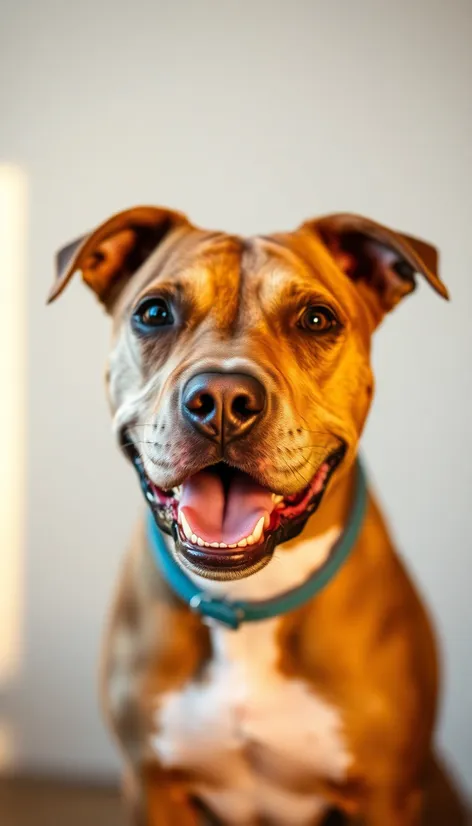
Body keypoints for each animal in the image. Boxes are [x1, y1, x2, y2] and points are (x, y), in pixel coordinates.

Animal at [48, 204, 468, 816]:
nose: (221, 399)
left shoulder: (384, 796)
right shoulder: (152, 787)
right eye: (154, 313)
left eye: (316, 319)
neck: (248, 603)